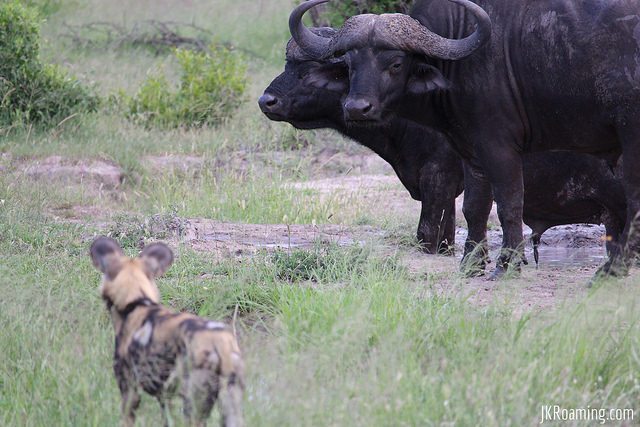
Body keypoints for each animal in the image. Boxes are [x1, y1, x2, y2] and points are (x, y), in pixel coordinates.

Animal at [288, 0, 640, 279]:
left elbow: (508, 204)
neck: (459, 62)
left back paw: (611, 270)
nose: (357, 108)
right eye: (349, 63)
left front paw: (506, 266)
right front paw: (472, 264)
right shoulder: (471, 153)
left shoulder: (498, 149)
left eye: (396, 63)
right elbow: (474, 208)